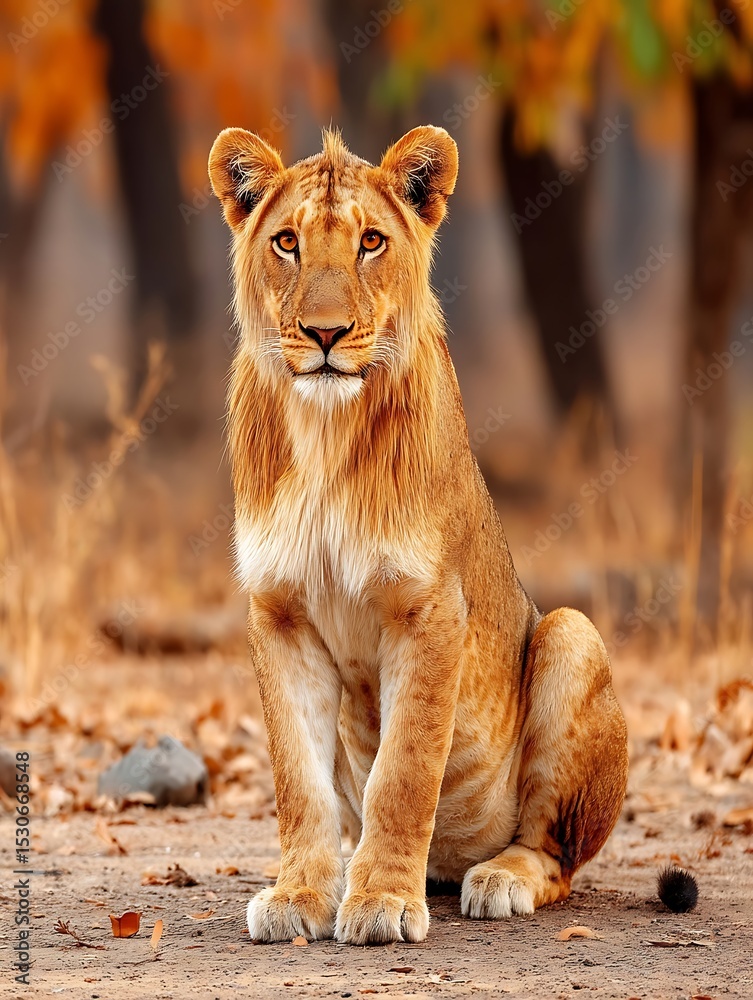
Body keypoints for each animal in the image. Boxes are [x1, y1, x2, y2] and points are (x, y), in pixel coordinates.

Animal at [208, 124, 629, 945]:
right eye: (285, 243)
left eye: (370, 241)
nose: (326, 334)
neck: (324, 434)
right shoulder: (279, 613)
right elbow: (296, 778)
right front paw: (301, 895)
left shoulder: (430, 610)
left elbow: (404, 770)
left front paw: (379, 902)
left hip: (571, 634)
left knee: (555, 857)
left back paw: (496, 878)